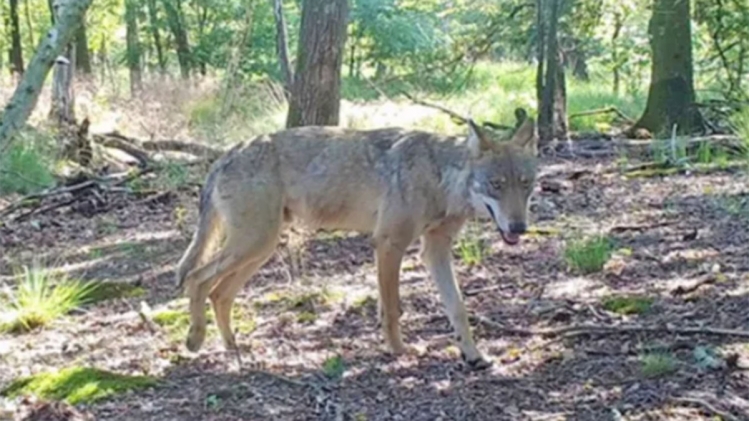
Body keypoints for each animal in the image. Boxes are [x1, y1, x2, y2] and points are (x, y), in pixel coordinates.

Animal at [174, 116, 539, 369]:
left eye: (526, 185)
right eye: (496, 184)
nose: (519, 228)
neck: (439, 177)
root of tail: (226, 154)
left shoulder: (435, 250)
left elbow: (458, 308)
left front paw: (473, 354)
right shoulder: (389, 244)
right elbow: (392, 308)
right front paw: (398, 350)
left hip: (259, 249)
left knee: (219, 294)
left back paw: (233, 349)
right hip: (252, 244)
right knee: (196, 279)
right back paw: (195, 339)